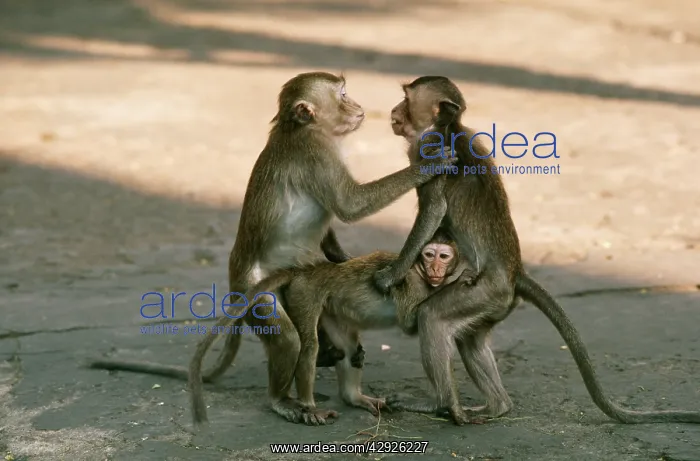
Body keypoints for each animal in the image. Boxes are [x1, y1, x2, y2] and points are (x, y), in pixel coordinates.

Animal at [188, 228, 474, 425]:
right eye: (430, 255)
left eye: (444, 256)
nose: (436, 267)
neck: (423, 276)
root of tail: (305, 269)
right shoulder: (411, 283)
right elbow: (409, 323)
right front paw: (459, 283)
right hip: (304, 294)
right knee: (308, 346)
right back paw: (307, 405)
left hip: (332, 309)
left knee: (349, 349)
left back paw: (353, 397)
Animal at [371, 76, 700, 425]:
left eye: (406, 98)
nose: (394, 110)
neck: (447, 126)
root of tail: (516, 273)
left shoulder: (428, 150)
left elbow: (433, 211)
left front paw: (390, 275)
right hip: (493, 303)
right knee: (469, 338)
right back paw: (496, 406)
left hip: (485, 292)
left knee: (433, 318)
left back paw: (439, 405)